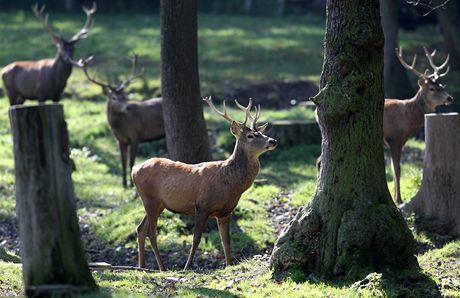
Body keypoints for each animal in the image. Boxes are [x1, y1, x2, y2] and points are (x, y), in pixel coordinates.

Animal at [76, 54, 166, 187]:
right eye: (113, 97)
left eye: (124, 96)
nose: (127, 107)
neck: (119, 128)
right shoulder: (120, 141)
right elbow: (123, 162)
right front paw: (123, 184)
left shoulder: (135, 136)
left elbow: (131, 162)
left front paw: (131, 184)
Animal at [131, 98, 278, 270]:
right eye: (250, 136)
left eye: (260, 132)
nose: (273, 141)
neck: (231, 185)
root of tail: (134, 170)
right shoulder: (202, 206)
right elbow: (196, 239)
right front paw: (187, 268)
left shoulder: (226, 212)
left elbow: (226, 241)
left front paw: (229, 265)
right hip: (150, 199)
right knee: (151, 233)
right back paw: (162, 268)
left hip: (158, 203)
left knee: (140, 229)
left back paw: (142, 266)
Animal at [384, 46, 452, 205]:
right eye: (432, 88)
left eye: (441, 85)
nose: (450, 98)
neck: (408, 120)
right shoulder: (394, 138)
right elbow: (397, 170)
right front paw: (399, 199)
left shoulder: (399, 141)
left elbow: (393, 168)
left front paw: (396, 197)